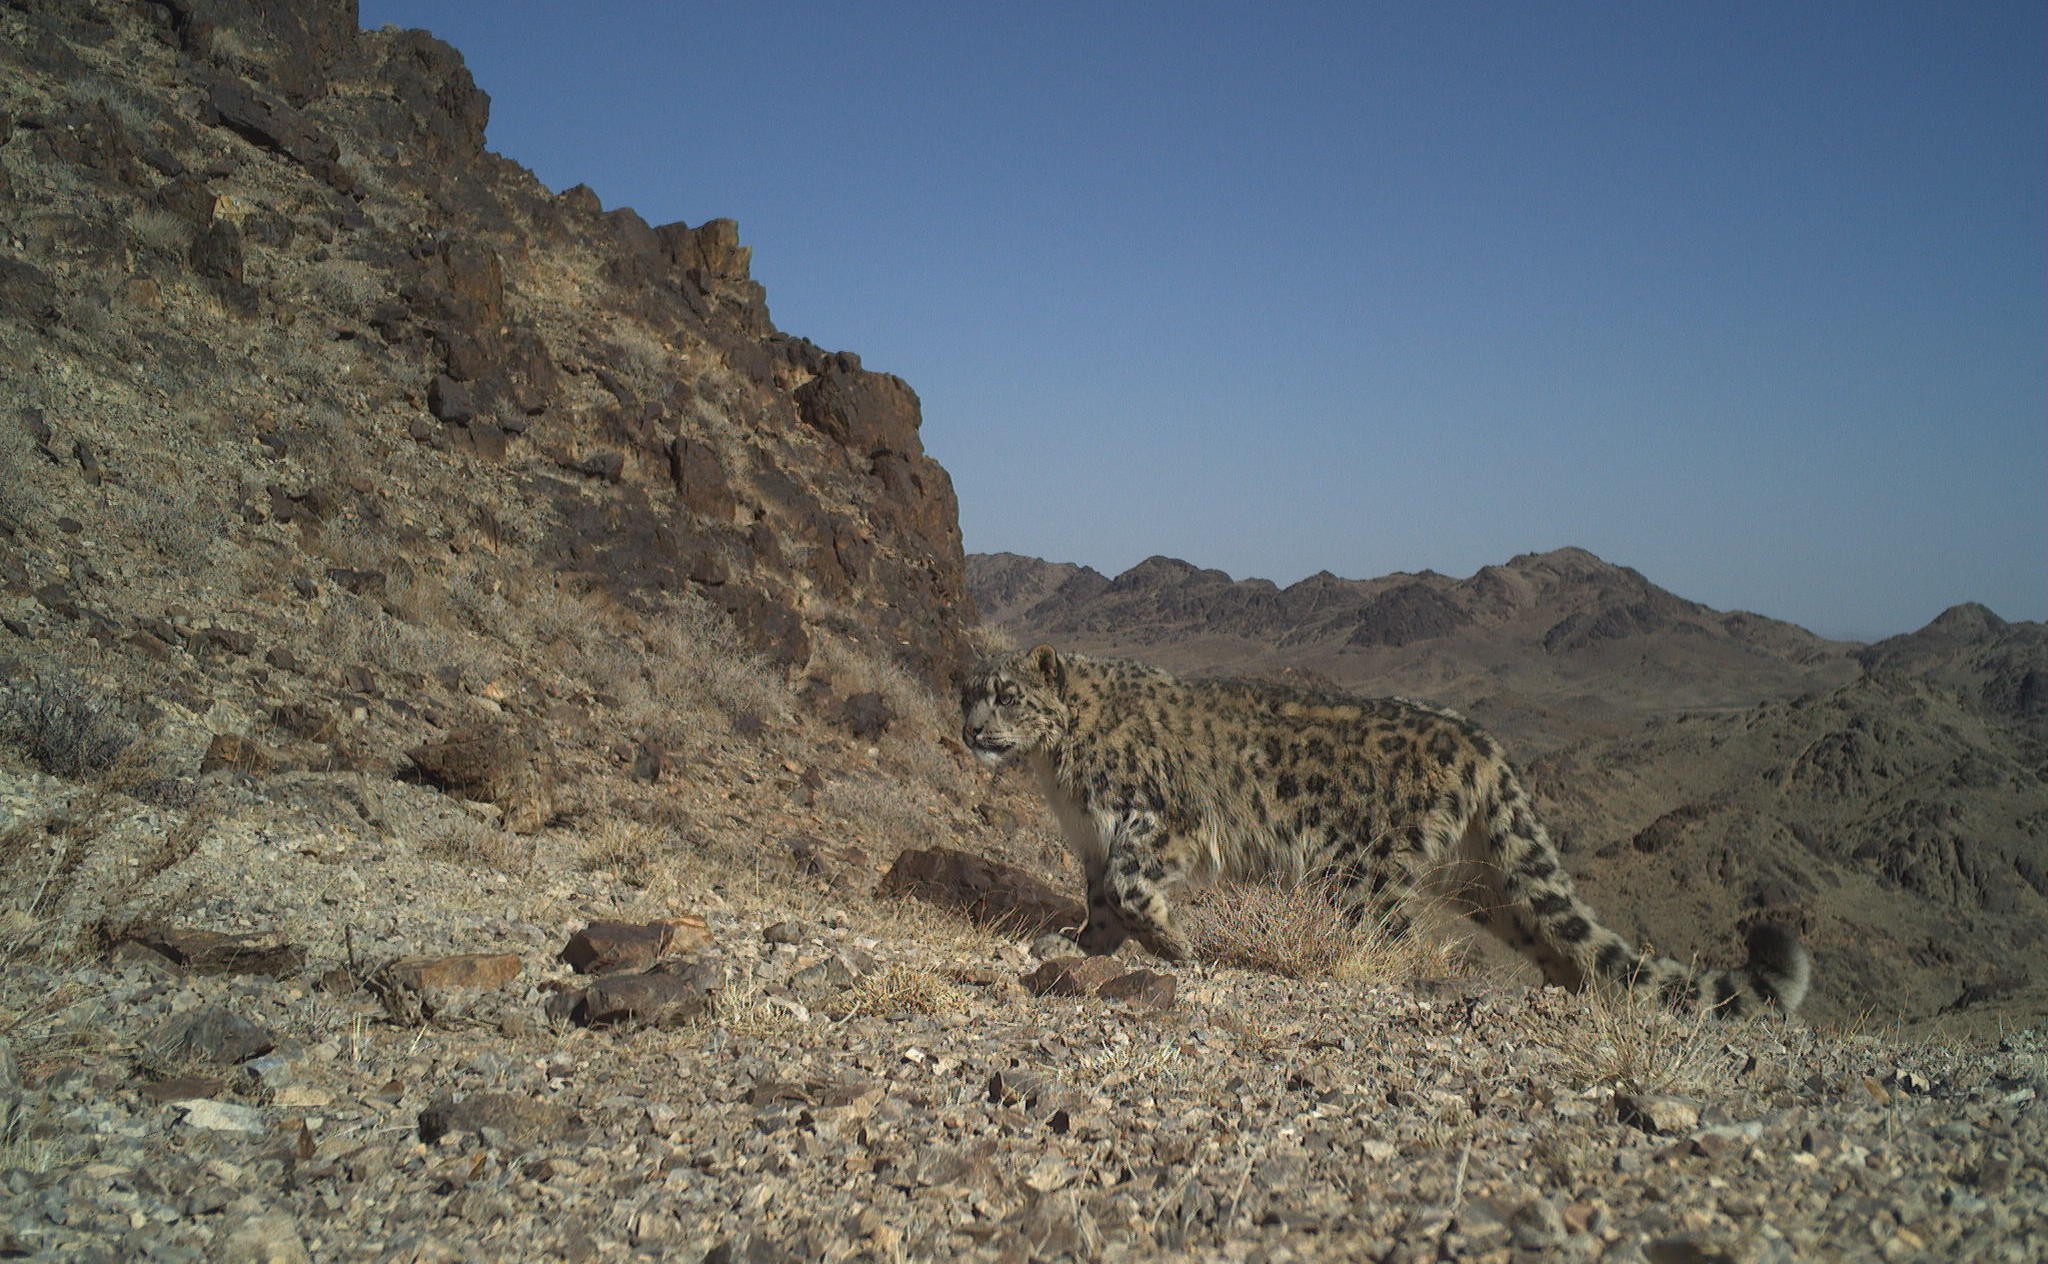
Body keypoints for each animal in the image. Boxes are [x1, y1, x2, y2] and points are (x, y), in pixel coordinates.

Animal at [960, 643, 1810, 1018]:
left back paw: (1404, 980)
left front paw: (1175, 948)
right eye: (968, 690)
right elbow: (1103, 898)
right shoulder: (1093, 838)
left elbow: (1132, 887)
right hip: (1483, 880)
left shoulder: (1162, 822)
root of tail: (1483, 742)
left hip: (1359, 871)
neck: (1057, 772)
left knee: (1398, 937)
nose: (970, 730)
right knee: (1549, 932)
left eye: (1007, 695)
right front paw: (1081, 945)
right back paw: (1576, 992)